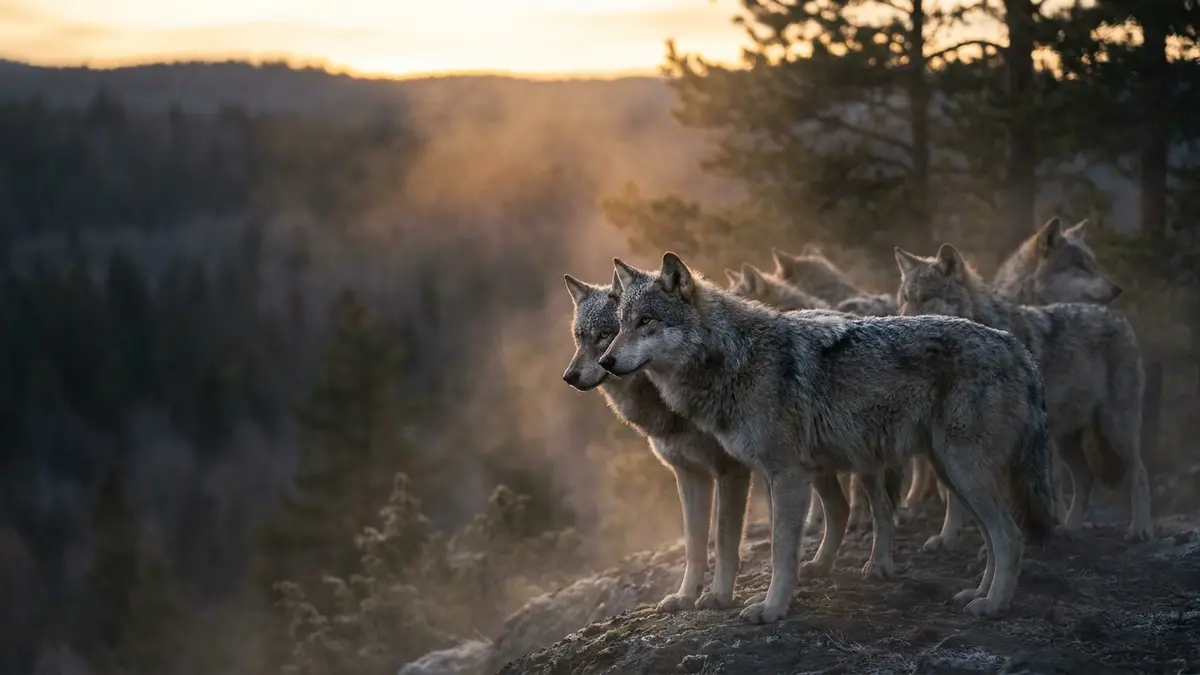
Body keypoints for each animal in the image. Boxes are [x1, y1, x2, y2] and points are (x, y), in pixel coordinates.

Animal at [562, 272, 754, 613]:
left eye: (605, 334)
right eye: (579, 337)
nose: (569, 377)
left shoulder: (730, 469)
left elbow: (724, 539)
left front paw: (720, 596)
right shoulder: (690, 474)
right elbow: (693, 545)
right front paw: (685, 596)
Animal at [600, 252, 1056, 623]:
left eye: (646, 322)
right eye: (619, 327)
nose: (605, 361)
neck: (736, 356)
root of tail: (1018, 349)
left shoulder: (786, 474)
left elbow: (780, 551)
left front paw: (771, 610)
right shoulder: (770, 473)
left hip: (963, 472)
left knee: (1010, 537)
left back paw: (993, 606)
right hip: (952, 473)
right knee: (994, 539)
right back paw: (977, 594)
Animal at [895, 243, 1153, 543]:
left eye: (926, 298)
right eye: (904, 298)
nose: (900, 328)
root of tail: (1118, 317)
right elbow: (953, 496)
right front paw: (947, 537)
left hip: (1115, 429)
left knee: (1139, 473)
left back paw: (1140, 528)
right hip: (1066, 439)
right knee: (1086, 478)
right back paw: (1071, 527)